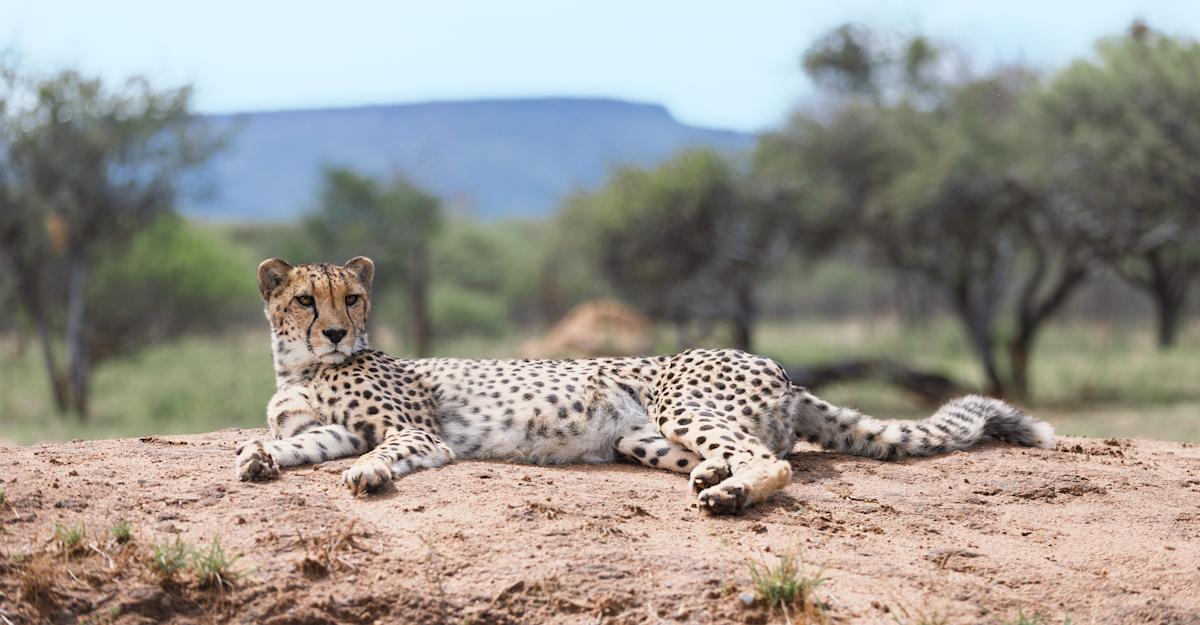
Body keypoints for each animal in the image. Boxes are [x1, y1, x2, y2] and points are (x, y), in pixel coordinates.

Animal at [235, 256, 1055, 514]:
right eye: (305, 299)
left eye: (352, 298)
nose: (335, 333)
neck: (301, 368)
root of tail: (782, 366)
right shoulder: (328, 427)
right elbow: (300, 446)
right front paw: (257, 459)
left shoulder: (420, 431)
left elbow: (382, 452)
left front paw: (368, 476)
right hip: (640, 435)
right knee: (727, 454)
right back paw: (714, 476)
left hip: (679, 400)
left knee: (774, 462)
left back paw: (730, 493)